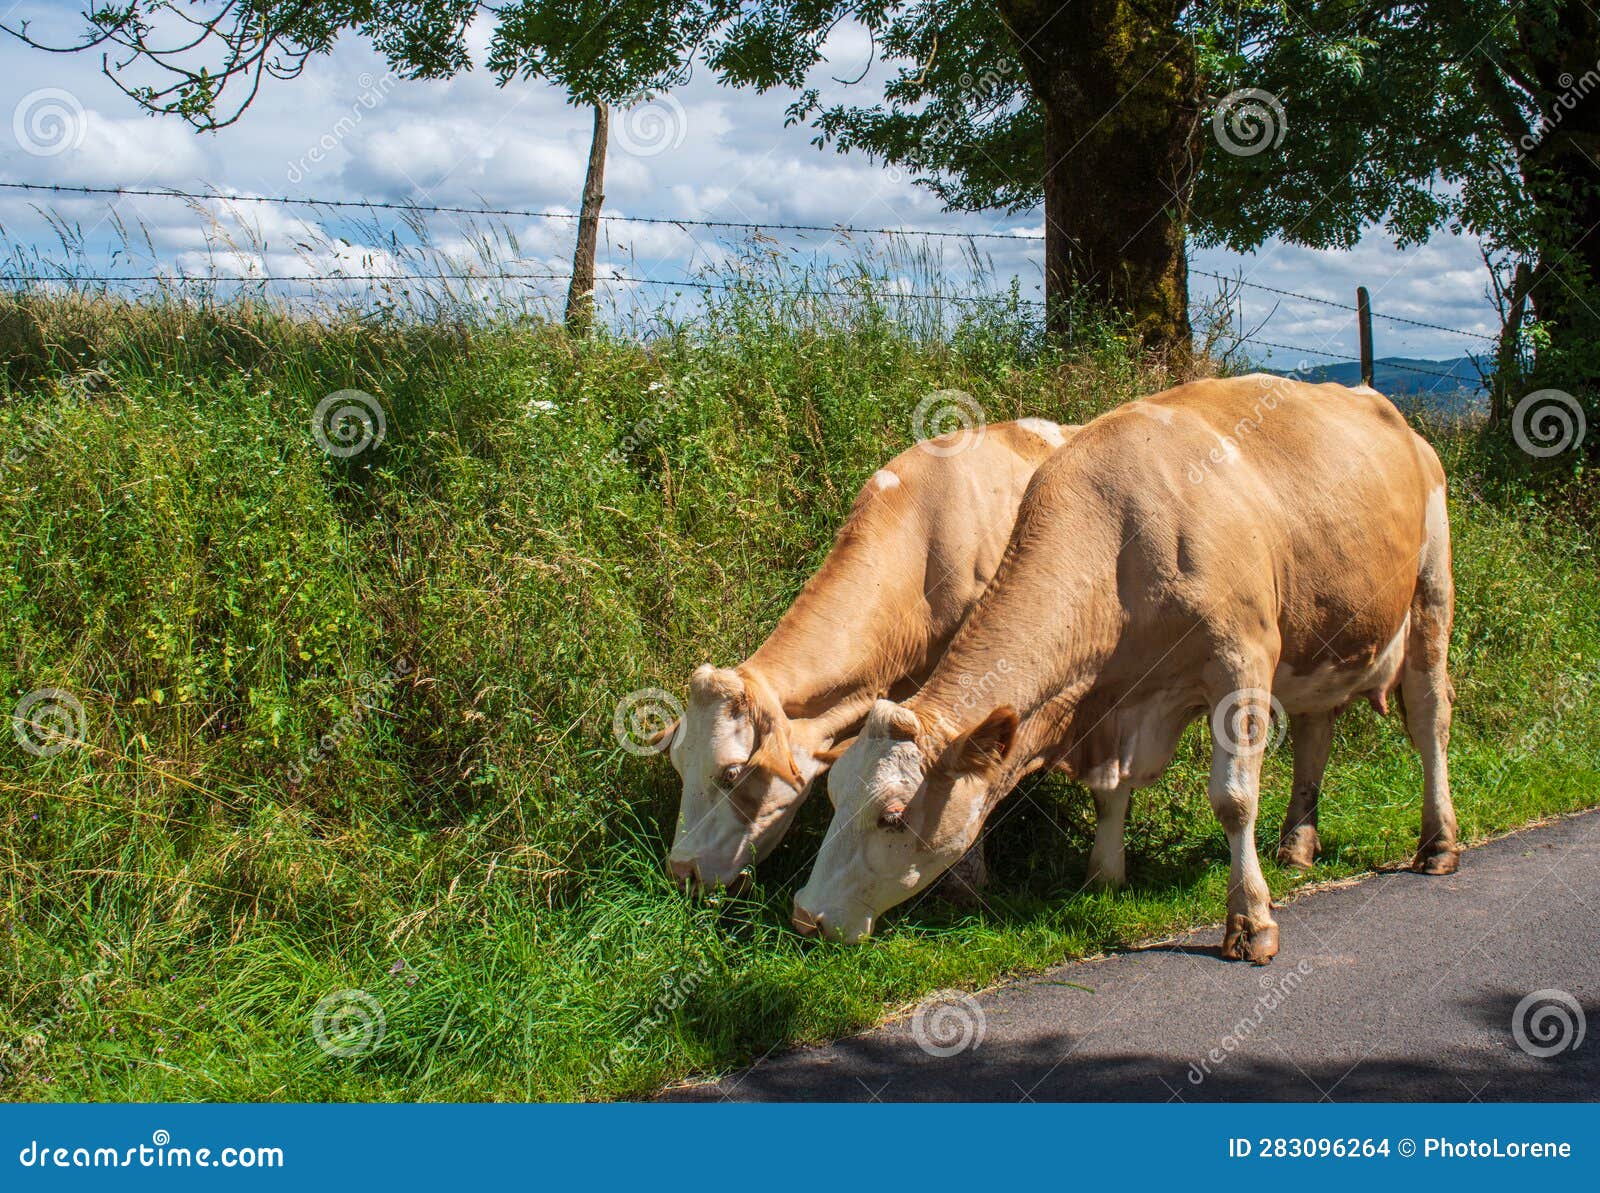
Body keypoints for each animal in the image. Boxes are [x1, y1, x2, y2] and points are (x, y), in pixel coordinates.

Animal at [793, 371, 1459, 959]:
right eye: (833, 795)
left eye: (892, 815)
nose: (806, 916)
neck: (1120, 540)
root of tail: (1385, 407)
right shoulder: (1116, 701)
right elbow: (1109, 790)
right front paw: (1103, 877)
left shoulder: (1241, 660)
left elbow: (1233, 799)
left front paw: (1250, 920)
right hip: (1321, 634)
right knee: (1315, 729)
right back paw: (1297, 844)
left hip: (1430, 592)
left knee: (1430, 719)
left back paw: (1438, 843)